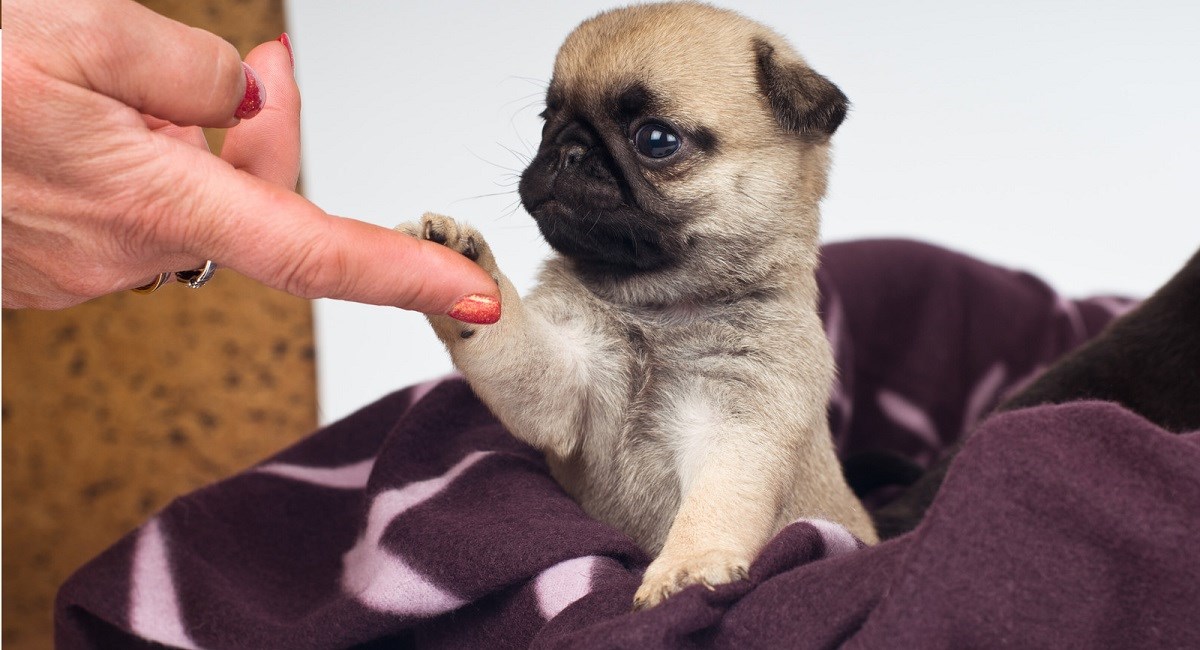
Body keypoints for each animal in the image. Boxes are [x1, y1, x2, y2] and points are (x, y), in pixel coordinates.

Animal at [398, 2, 878, 609]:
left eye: (656, 138)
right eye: (546, 119)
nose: (569, 150)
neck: (656, 305)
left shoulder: (740, 423)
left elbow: (715, 504)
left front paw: (688, 567)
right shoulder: (564, 382)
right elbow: (513, 341)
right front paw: (459, 261)